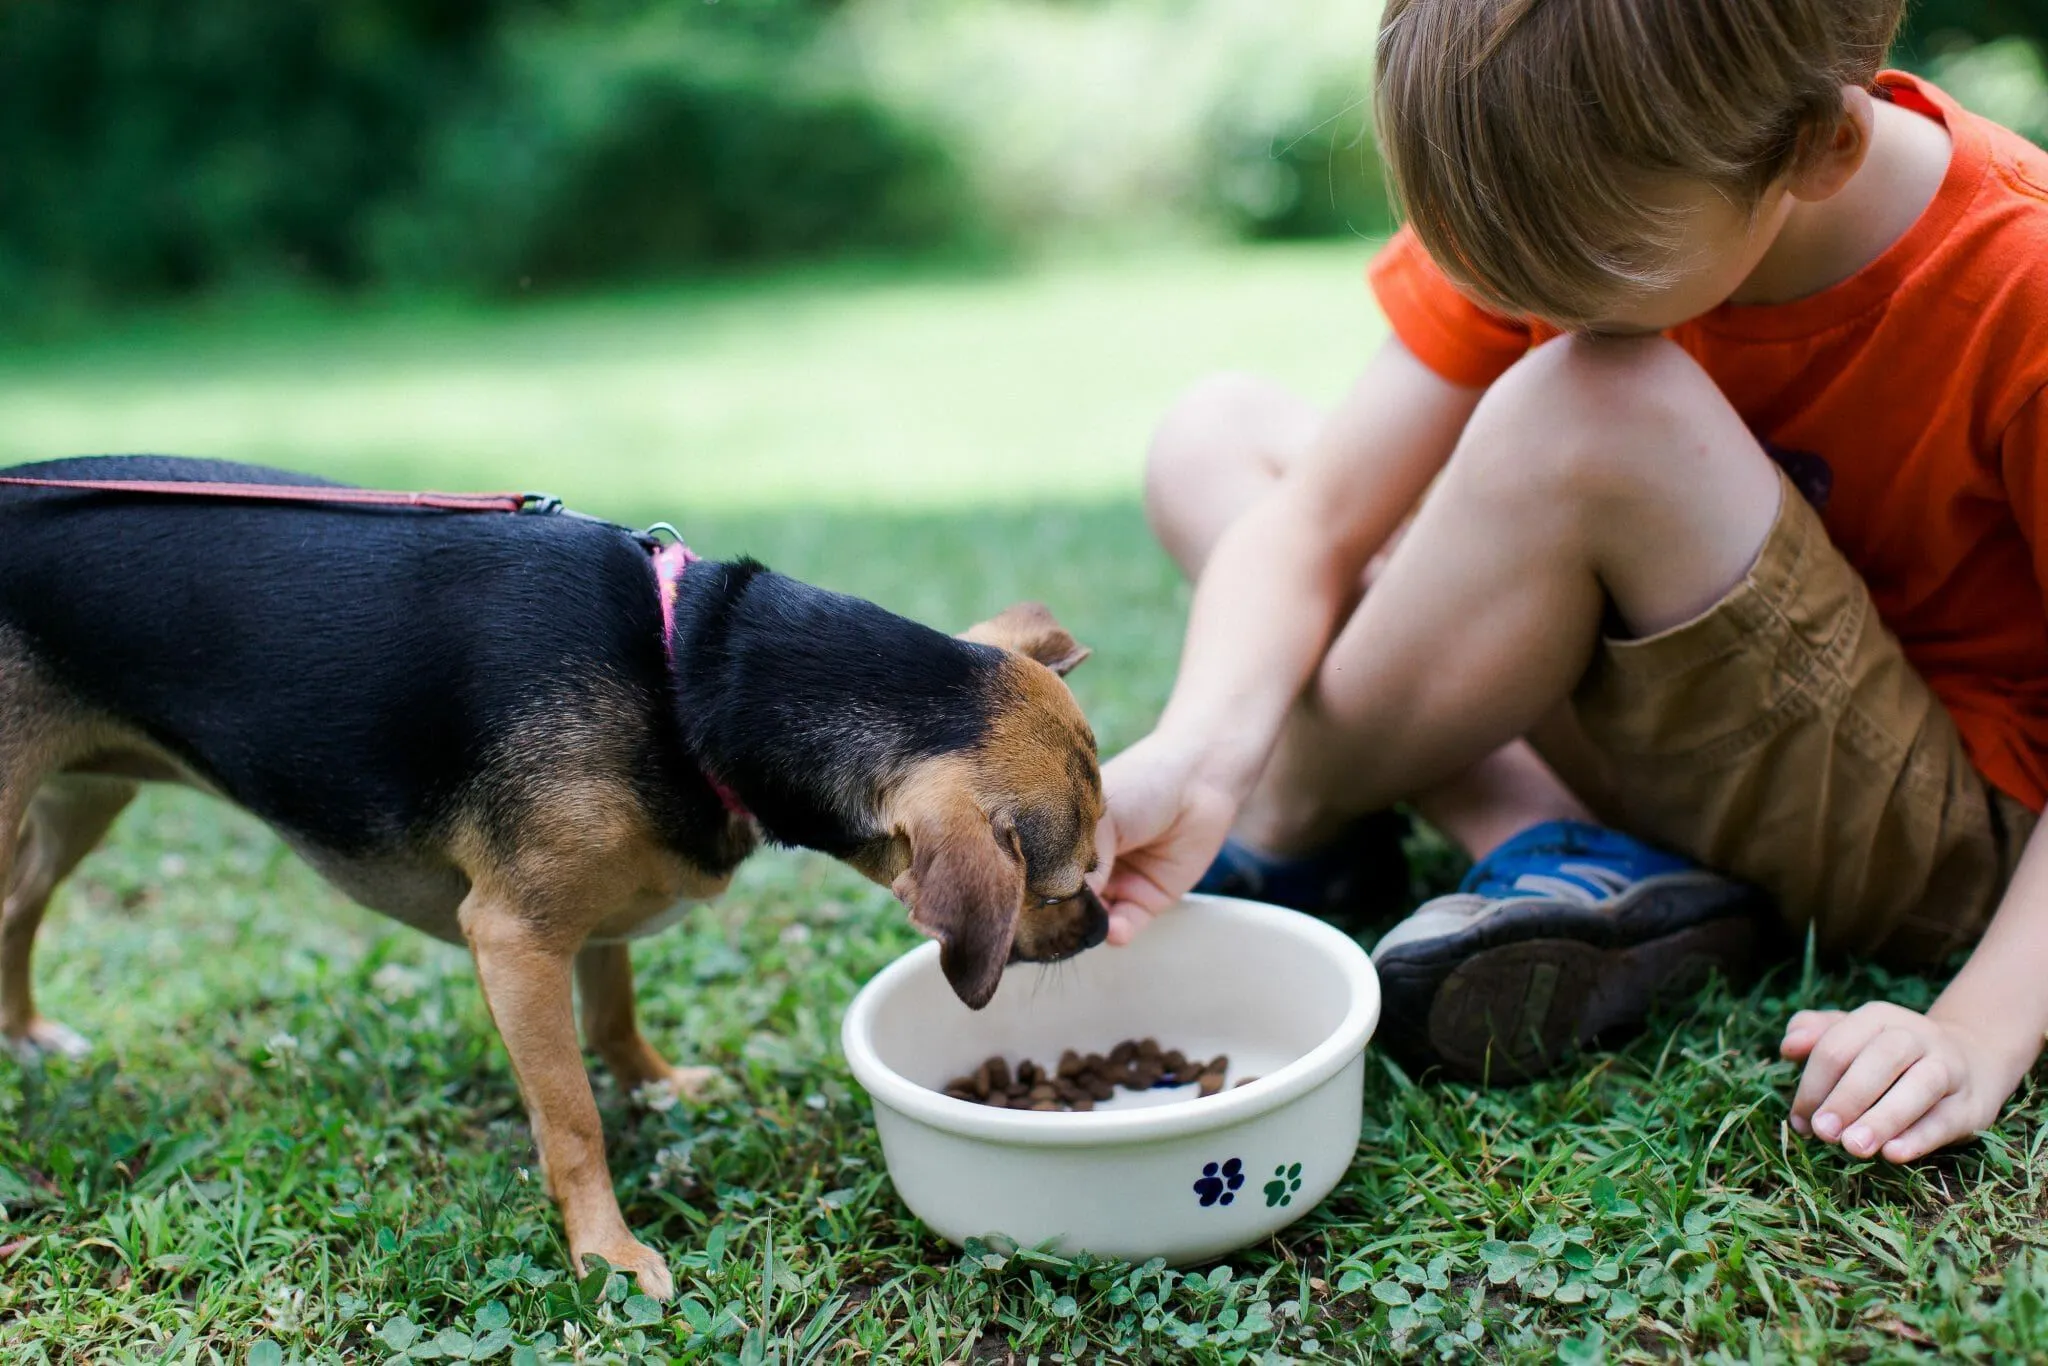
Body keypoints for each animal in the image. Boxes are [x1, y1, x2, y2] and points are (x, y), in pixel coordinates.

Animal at [0, 456, 1114, 1294]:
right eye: (1056, 886)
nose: (1103, 928)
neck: (688, 675)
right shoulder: (515, 940)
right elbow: (572, 1119)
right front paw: (606, 1254)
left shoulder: (599, 916)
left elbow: (613, 1017)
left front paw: (658, 1088)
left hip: (83, 798)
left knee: (19, 909)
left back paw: (27, 1035)